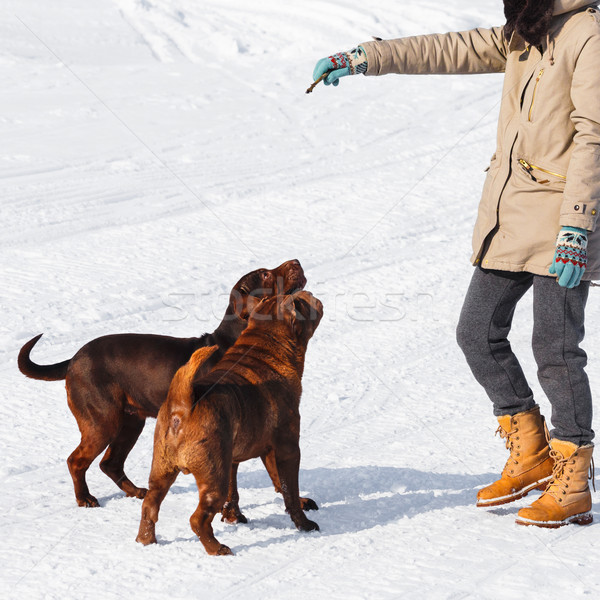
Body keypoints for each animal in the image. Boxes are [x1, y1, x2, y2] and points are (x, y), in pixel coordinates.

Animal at [16, 260, 308, 508]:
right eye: (266, 275)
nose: (296, 261)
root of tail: (74, 360)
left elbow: (277, 473)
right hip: (102, 422)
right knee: (76, 461)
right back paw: (85, 498)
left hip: (130, 422)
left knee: (110, 463)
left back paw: (135, 492)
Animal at [136, 290, 324, 556]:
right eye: (299, 301)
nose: (308, 292)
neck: (266, 344)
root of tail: (182, 404)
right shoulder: (288, 448)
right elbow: (290, 488)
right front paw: (304, 524)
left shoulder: (245, 456)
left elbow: (268, 482)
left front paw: (235, 516)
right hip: (214, 477)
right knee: (198, 519)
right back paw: (217, 549)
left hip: (162, 471)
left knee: (150, 505)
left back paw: (146, 540)